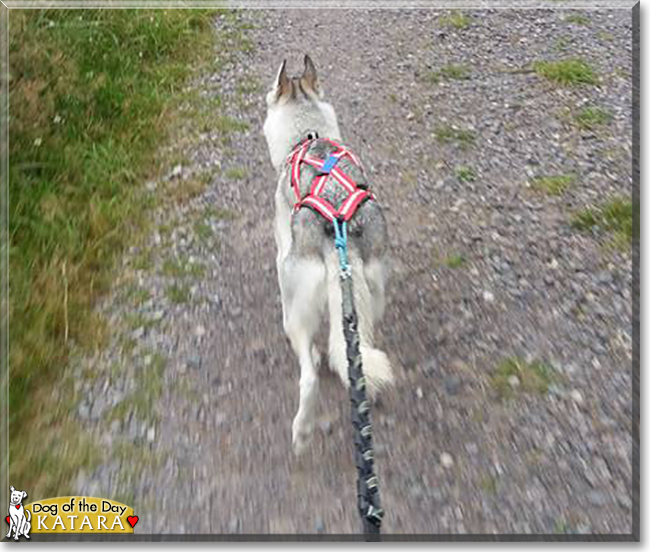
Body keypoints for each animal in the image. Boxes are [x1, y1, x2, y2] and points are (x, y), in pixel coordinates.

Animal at [260, 54, 392, 454]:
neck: (307, 135)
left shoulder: (281, 238)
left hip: (296, 308)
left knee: (308, 375)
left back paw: (302, 430)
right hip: (374, 288)